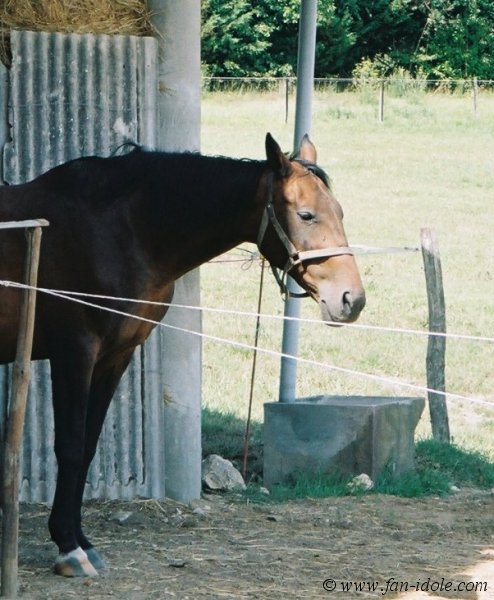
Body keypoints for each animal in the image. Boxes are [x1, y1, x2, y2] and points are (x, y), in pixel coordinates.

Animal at [0, 132, 362, 576]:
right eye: (307, 215)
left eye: (339, 211)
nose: (351, 299)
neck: (121, 230)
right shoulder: (74, 353)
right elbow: (69, 446)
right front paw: (68, 547)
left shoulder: (114, 358)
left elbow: (86, 448)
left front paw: (82, 540)